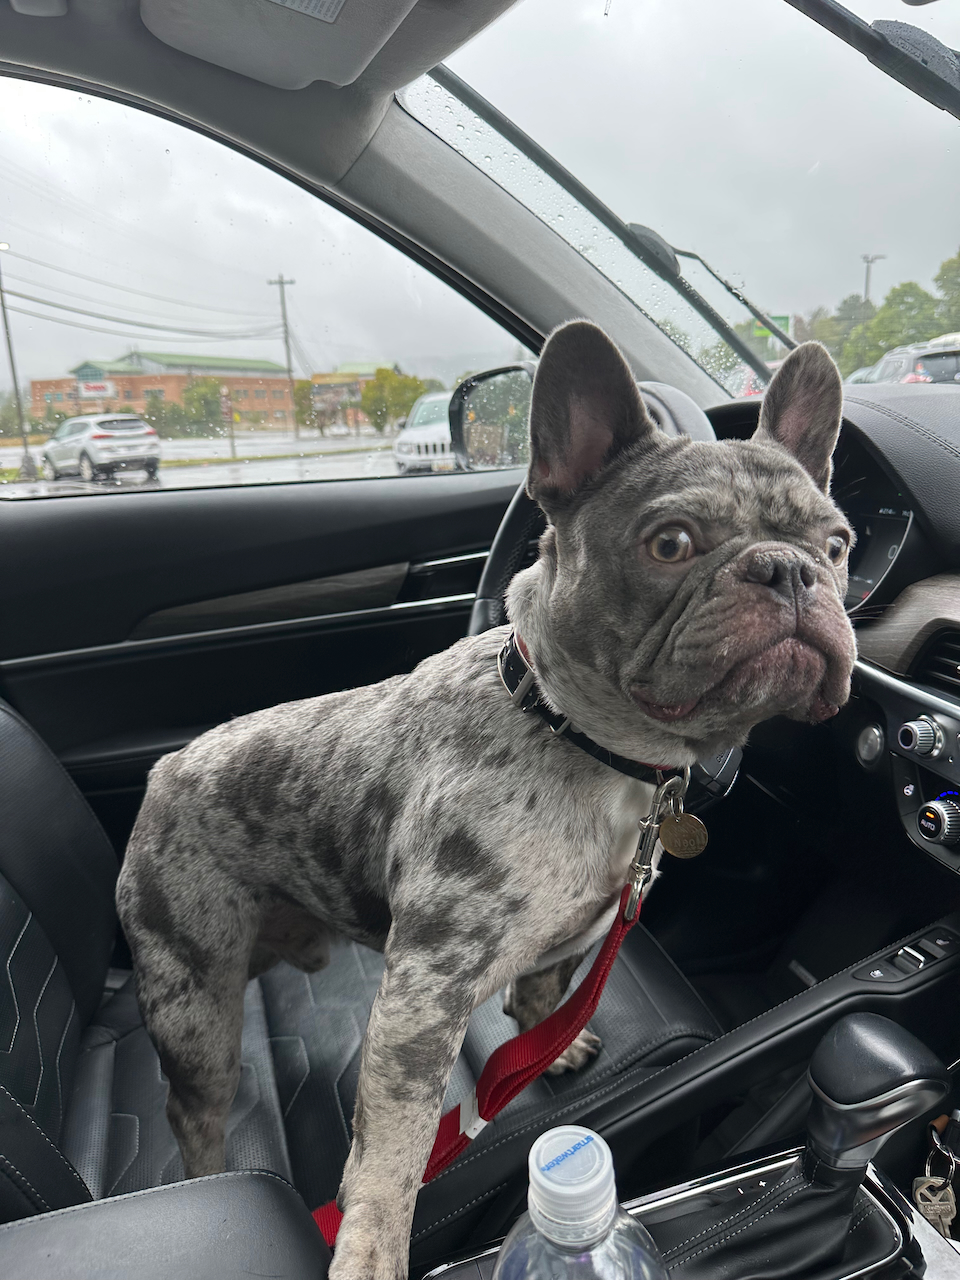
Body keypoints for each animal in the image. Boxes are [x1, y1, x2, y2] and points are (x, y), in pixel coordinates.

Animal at [116, 321, 857, 1280]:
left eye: (837, 545)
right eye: (671, 543)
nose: (789, 570)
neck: (585, 740)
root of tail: (165, 771)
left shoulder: (570, 931)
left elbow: (541, 995)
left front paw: (556, 1044)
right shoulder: (421, 1001)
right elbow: (391, 1152)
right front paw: (370, 1252)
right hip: (194, 1003)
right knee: (196, 1111)